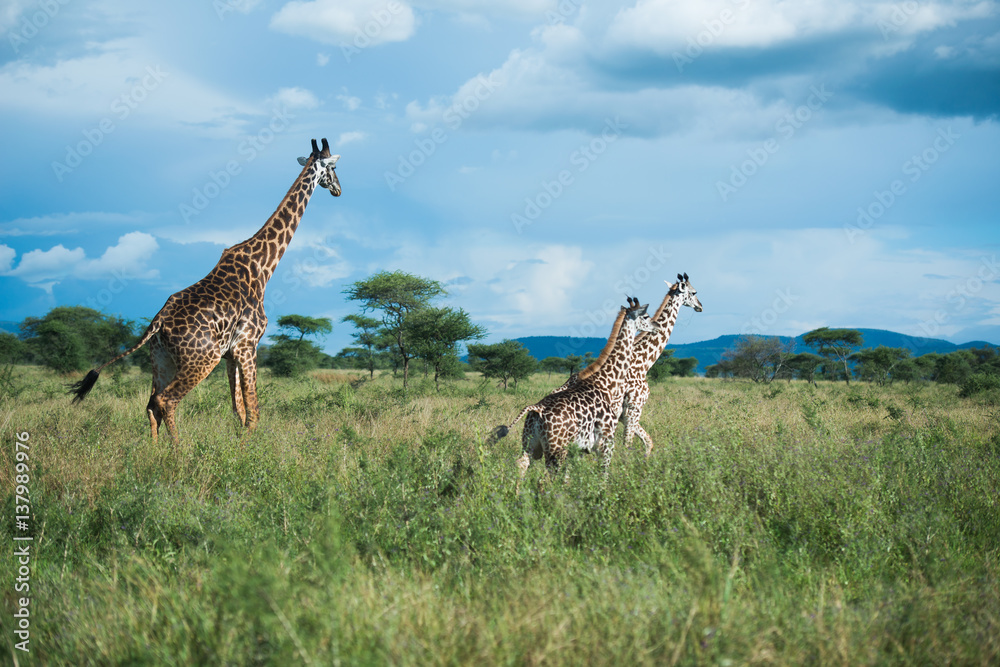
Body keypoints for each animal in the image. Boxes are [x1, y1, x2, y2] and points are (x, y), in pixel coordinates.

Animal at [69, 138, 342, 441]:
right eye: (334, 168)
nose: (338, 189)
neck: (262, 267)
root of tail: (157, 323)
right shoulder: (248, 345)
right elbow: (253, 411)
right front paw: (250, 449)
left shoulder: (231, 353)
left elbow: (239, 411)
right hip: (202, 359)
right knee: (167, 400)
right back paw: (179, 451)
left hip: (161, 359)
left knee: (152, 404)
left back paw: (151, 450)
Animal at [488, 298, 660, 481]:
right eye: (646, 316)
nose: (656, 325)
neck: (607, 383)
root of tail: (536, 409)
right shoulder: (606, 441)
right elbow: (603, 475)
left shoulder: (580, 448)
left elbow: (569, 477)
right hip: (556, 450)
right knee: (546, 479)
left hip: (530, 444)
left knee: (521, 465)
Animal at [553, 273, 702, 456]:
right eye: (694, 292)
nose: (700, 306)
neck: (644, 362)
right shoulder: (633, 408)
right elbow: (627, 445)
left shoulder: (624, 416)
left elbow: (648, 442)